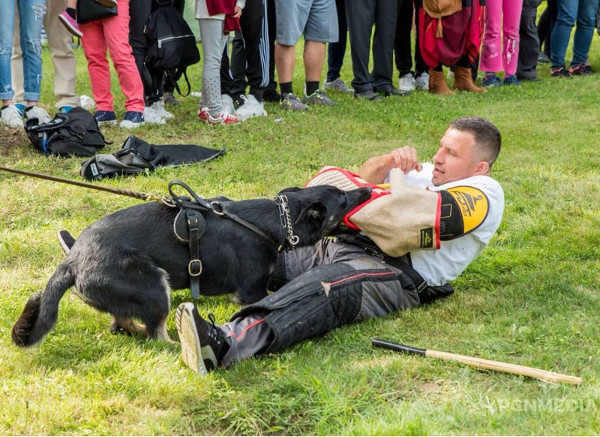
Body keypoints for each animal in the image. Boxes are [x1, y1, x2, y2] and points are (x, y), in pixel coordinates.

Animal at [11, 183, 370, 344]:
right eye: (344, 198)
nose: (367, 189)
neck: (275, 220)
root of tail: (71, 260)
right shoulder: (251, 291)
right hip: (155, 287)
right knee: (155, 333)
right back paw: (174, 344)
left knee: (121, 323)